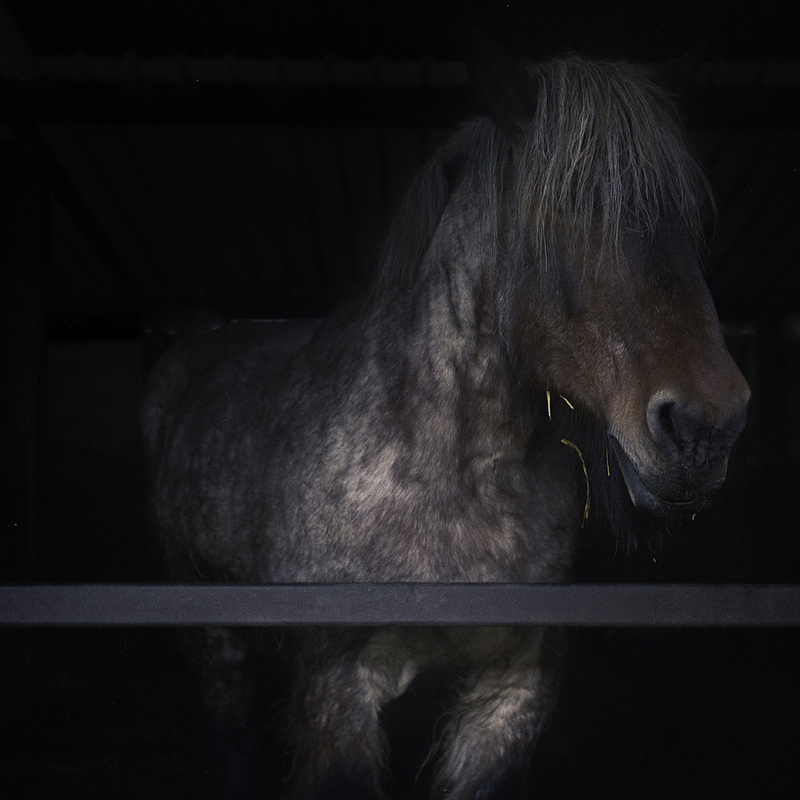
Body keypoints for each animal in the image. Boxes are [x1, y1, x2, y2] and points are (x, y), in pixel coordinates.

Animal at [141, 39, 750, 800]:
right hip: (212, 642)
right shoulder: (336, 692)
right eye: (565, 209)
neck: (456, 474)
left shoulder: (510, 694)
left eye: (690, 220)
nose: (707, 425)